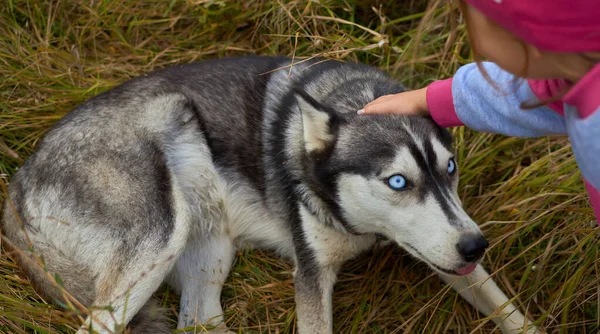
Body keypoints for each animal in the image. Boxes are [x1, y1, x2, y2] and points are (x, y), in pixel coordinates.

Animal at [2, 56, 536, 332]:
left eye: (450, 170)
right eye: (398, 182)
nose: (476, 245)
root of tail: (17, 182)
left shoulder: (446, 253)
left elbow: (512, 313)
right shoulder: (312, 275)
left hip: (209, 255)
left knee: (197, 319)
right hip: (158, 240)